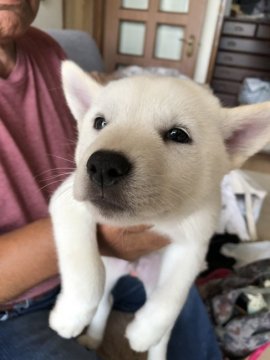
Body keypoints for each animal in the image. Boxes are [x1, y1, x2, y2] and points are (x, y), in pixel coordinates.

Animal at [48, 60, 270, 358]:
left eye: (178, 135)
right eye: (99, 123)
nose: (103, 166)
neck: (155, 218)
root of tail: (134, 269)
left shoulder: (193, 242)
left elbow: (169, 300)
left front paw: (143, 333)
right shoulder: (66, 202)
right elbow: (85, 271)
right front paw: (70, 315)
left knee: (162, 329)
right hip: (111, 266)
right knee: (106, 297)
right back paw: (92, 338)